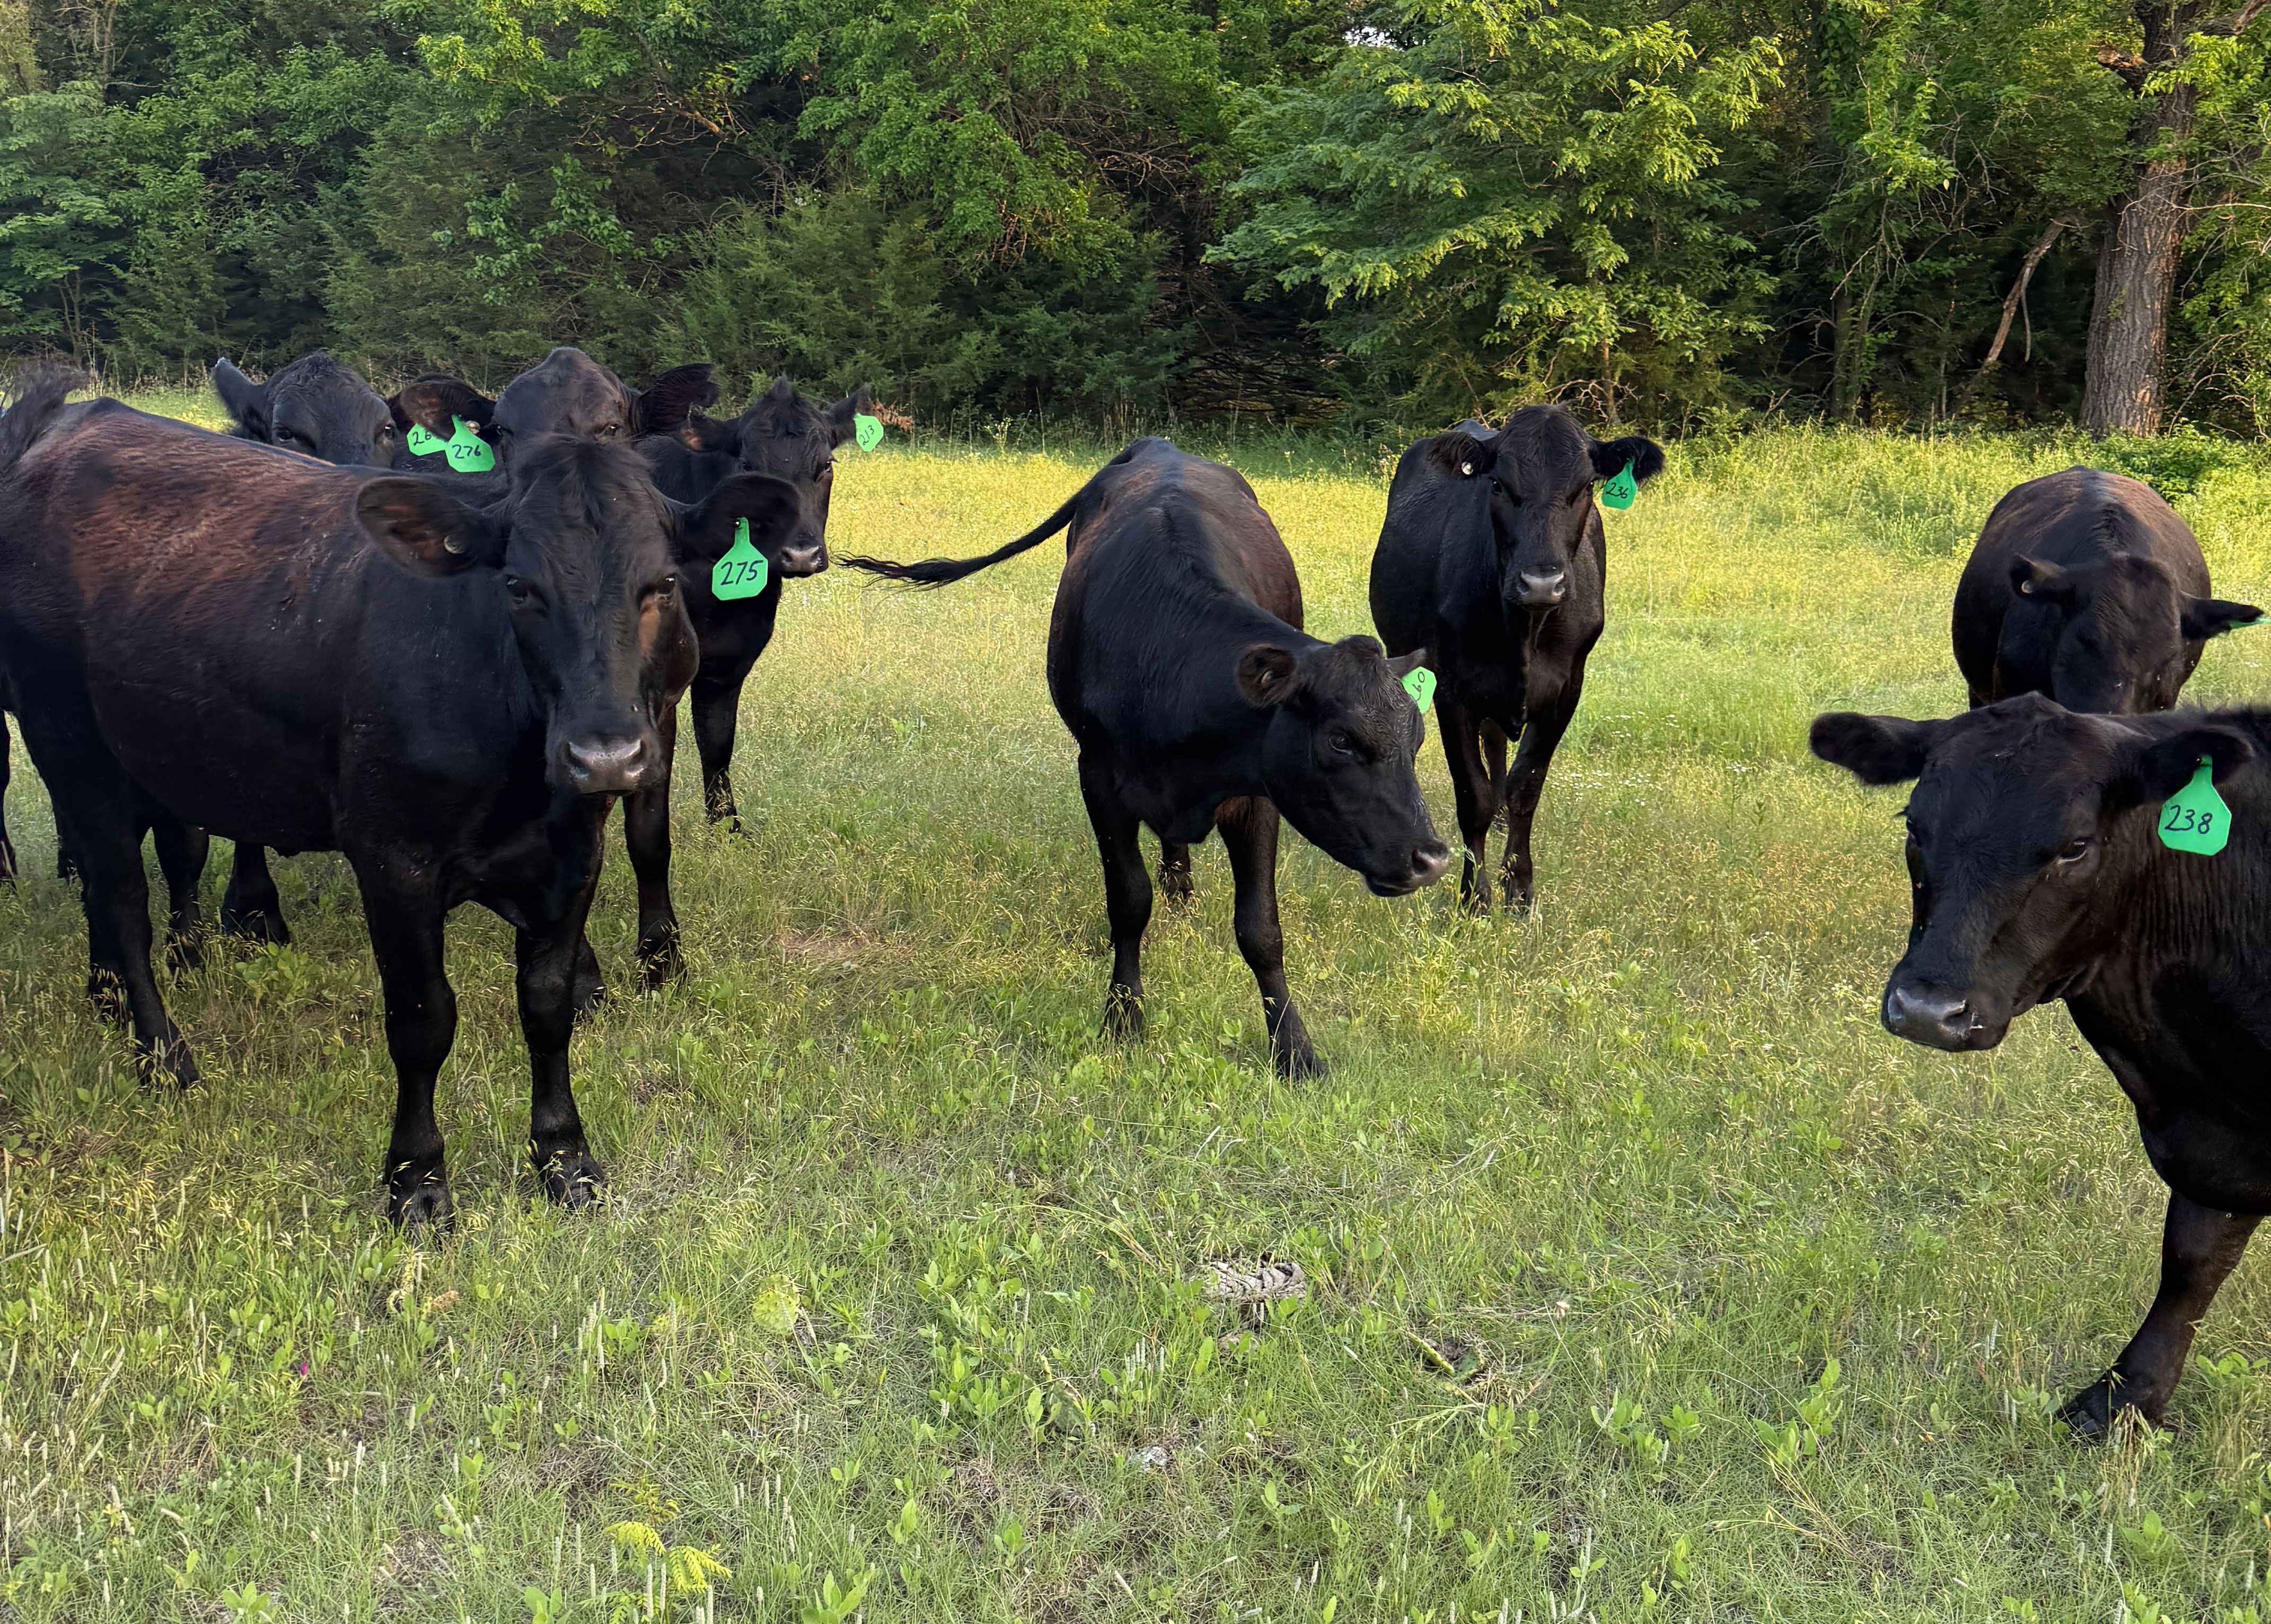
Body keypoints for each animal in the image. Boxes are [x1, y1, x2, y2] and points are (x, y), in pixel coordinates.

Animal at [0, 372, 800, 1225]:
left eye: (660, 585)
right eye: (519, 587)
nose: (606, 755)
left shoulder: (574, 854)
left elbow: (547, 1007)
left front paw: (563, 1156)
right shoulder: (394, 862)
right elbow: (423, 1021)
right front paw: (416, 1179)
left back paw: (107, 1001)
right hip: (68, 741)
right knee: (120, 899)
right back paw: (161, 1056)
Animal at [844, 438, 1451, 1076]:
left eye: (1417, 740)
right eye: (1340, 740)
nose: (1432, 858)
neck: (1170, 664)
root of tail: (1160, 446)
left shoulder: (1258, 790)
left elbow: (1261, 928)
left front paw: (1293, 1049)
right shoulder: (1098, 777)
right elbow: (1129, 901)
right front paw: (1124, 1016)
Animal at [1370, 406, 1663, 912]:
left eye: (1585, 487)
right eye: (1498, 486)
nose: (1541, 582)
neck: (1526, 631)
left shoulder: (1567, 689)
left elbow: (1526, 787)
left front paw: (1521, 888)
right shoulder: (1451, 689)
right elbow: (1473, 797)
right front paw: (1475, 897)